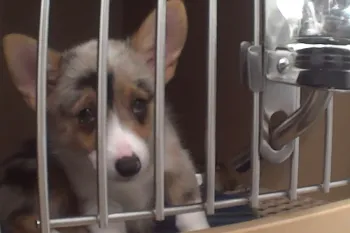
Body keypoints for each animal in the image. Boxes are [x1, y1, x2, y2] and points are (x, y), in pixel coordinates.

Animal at [2, 0, 209, 232]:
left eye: (139, 104)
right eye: (86, 114)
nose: (129, 166)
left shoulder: (178, 167)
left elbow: (190, 213)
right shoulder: (100, 208)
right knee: (22, 217)